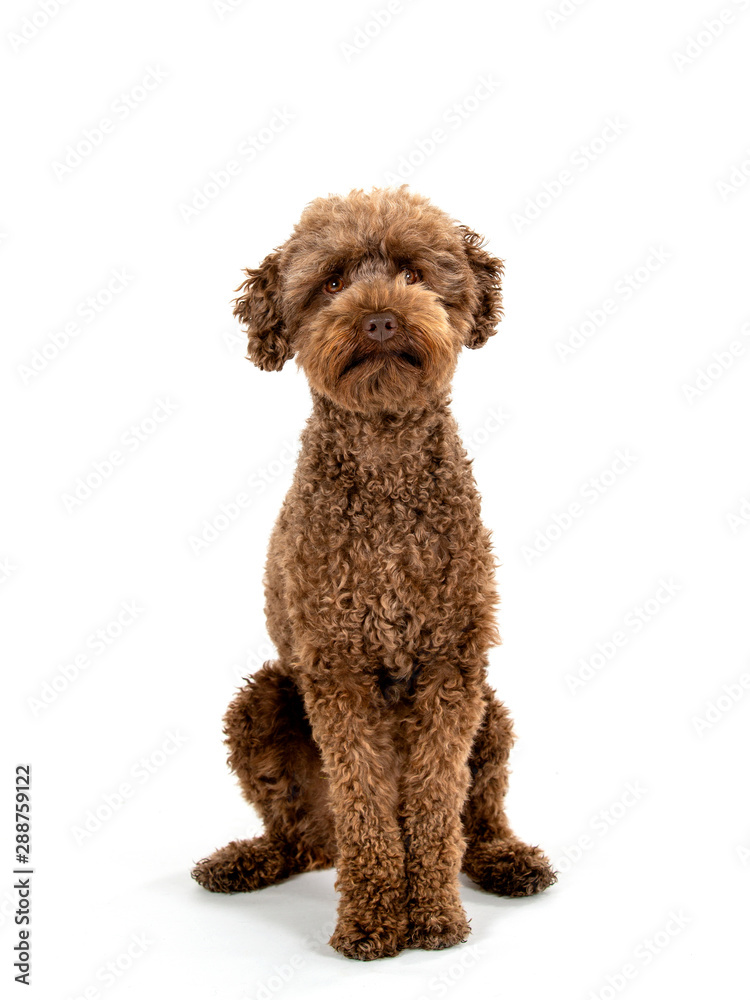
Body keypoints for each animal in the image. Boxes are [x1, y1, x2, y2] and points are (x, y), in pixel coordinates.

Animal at [194, 188, 560, 960]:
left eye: (415, 273)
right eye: (332, 281)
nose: (381, 317)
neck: (386, 462)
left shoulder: (451, 668)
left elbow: (435, 805)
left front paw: (434, 916)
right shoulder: (339, 671)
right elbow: (366, 808)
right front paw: (371, 919)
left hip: (493, 714)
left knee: (479, 814)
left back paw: (505, 861)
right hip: (263, 701)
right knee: (304, 838)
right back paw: (248, 860)